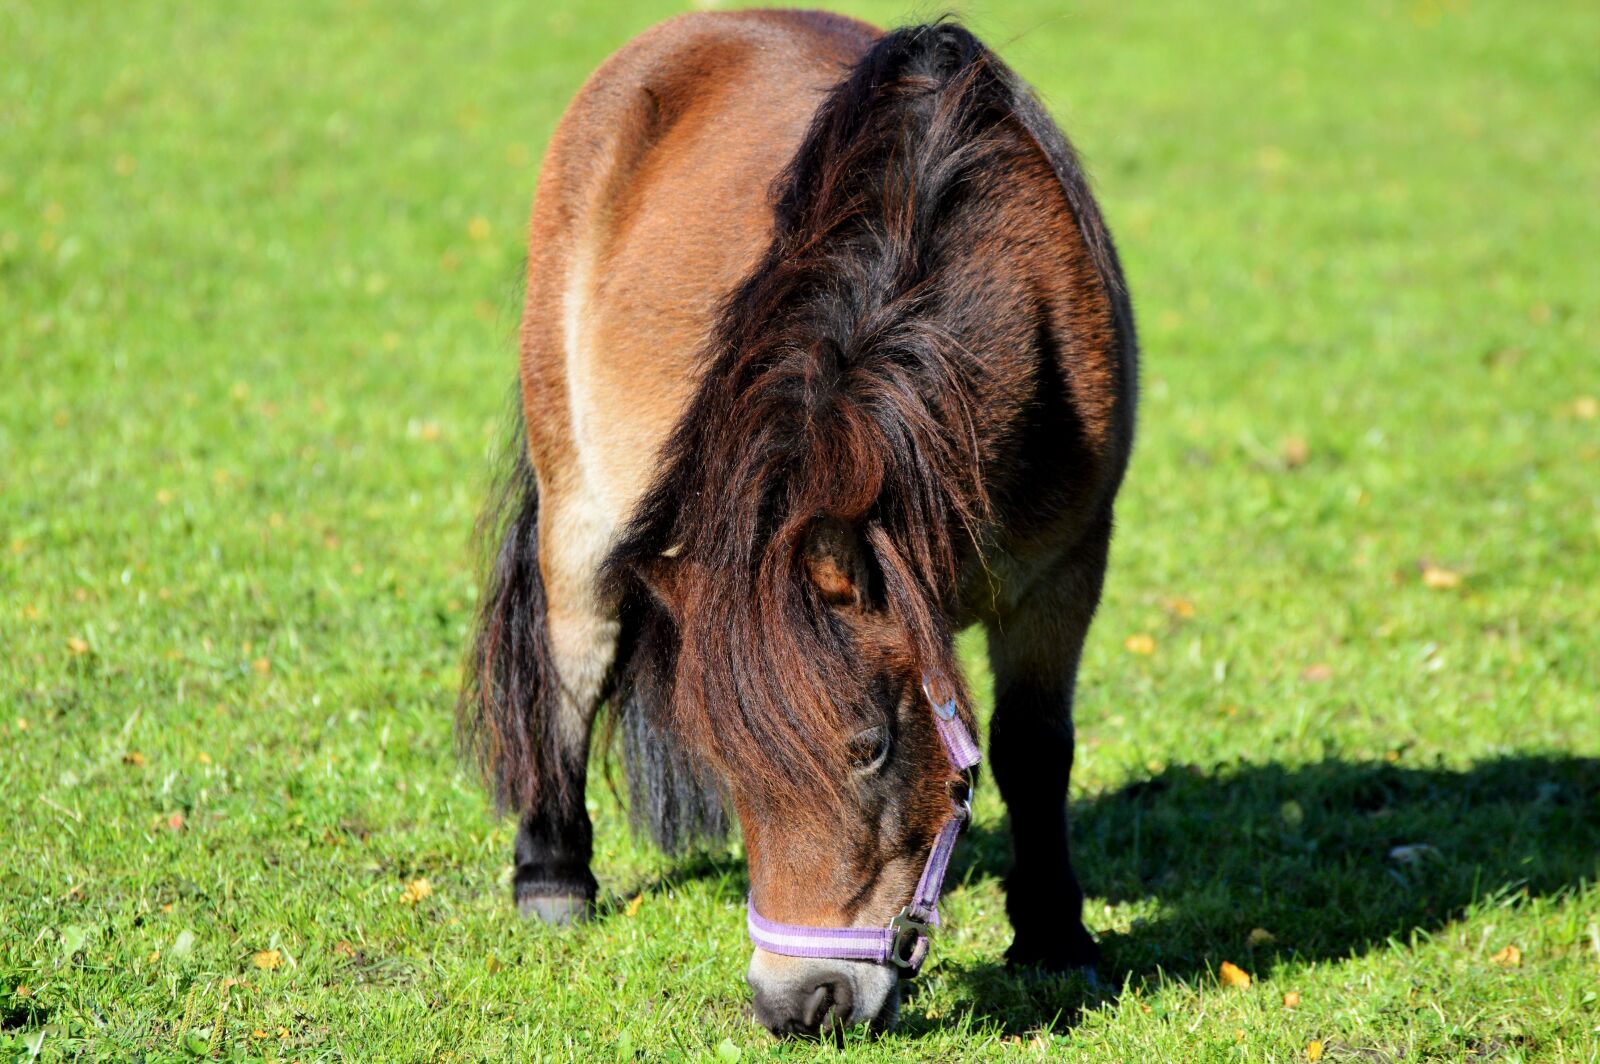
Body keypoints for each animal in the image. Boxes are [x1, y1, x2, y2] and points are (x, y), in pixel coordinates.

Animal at [458, 10, 1136, 1037]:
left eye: (871, 748)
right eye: (732, 763)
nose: (800, 1004)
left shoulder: (1065, 572)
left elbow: (1033, 749)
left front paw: (1055, 937)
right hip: (576, 502)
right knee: (571, 662)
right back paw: (552, 875)